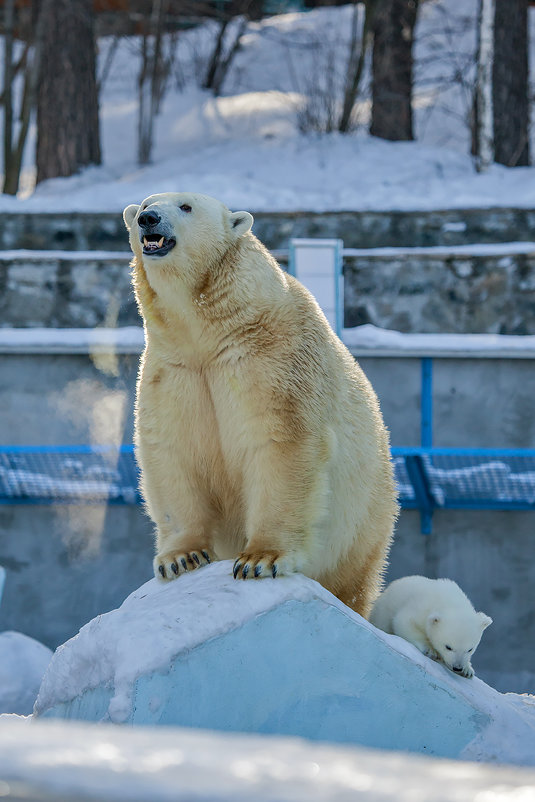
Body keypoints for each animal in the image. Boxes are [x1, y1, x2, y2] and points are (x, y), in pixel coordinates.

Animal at [122, 191, 398, 616]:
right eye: (144, 204)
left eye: (185, 206)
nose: (149, 219)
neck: (211, 329)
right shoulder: (175, 370)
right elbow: (174, 452)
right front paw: (181, 558)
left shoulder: (272, 358)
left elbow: (282, 444)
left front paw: (260, 559)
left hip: (364, 521)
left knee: (351, 581)